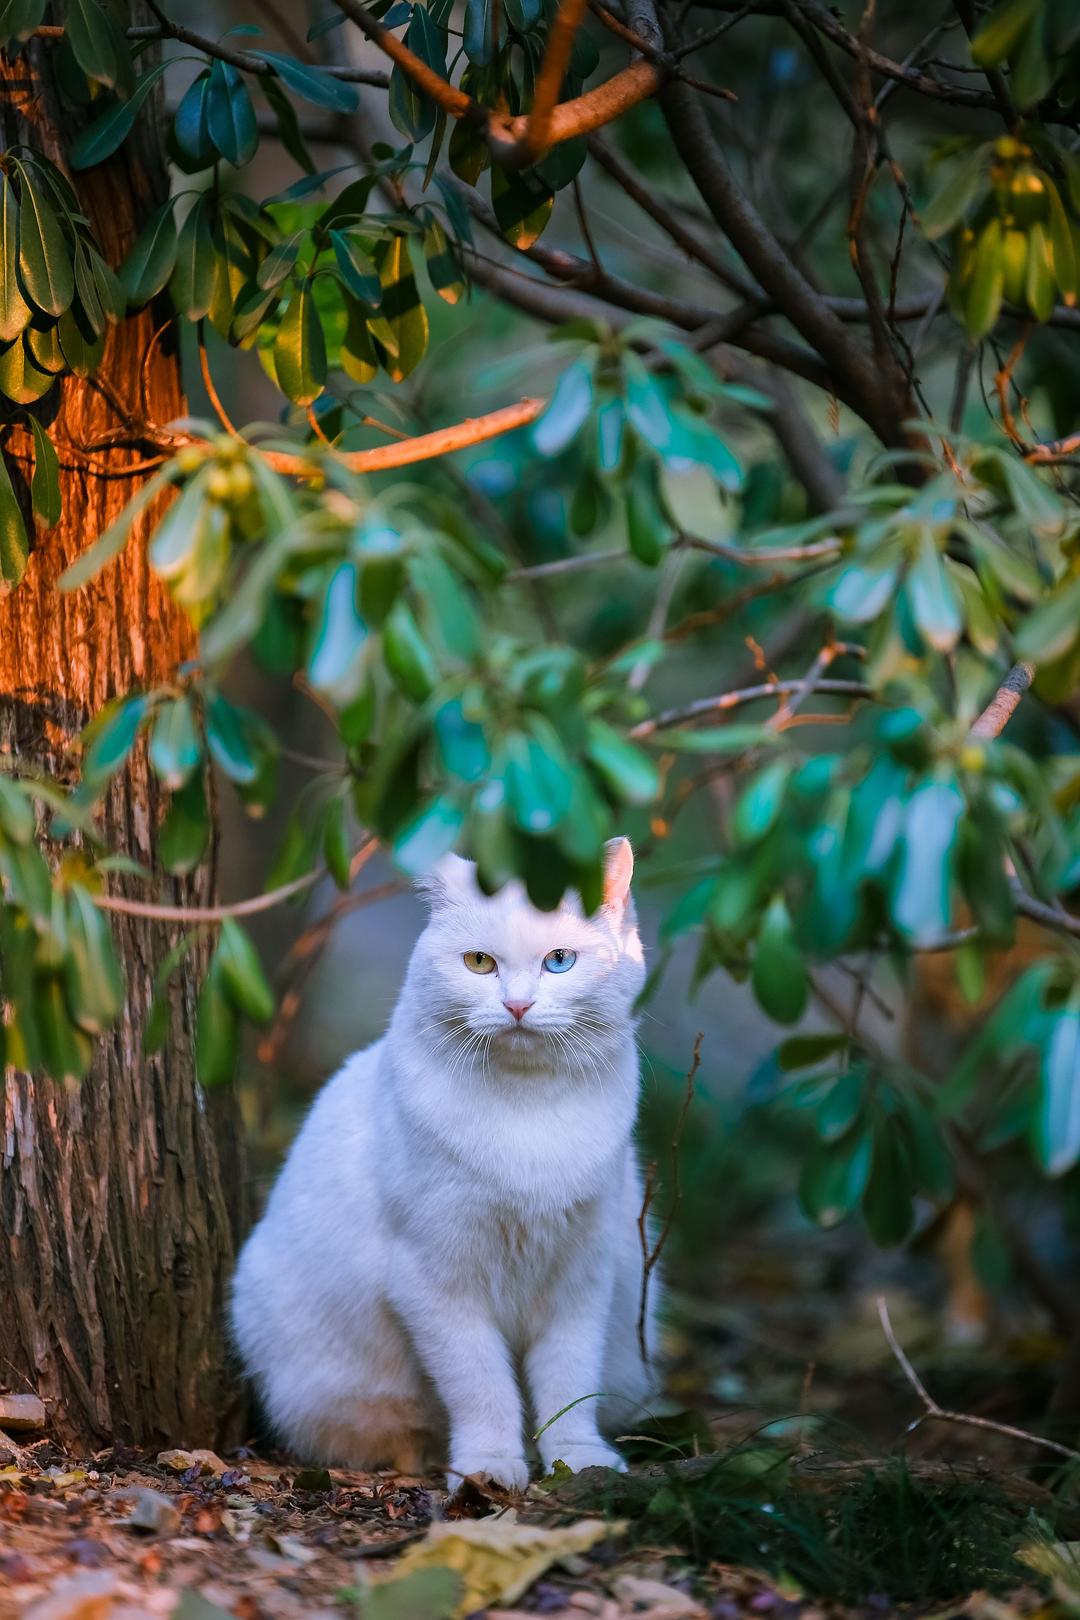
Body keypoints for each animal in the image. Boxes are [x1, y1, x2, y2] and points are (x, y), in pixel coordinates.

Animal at [231, 842, 654, 1483]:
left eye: (559, 961)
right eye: (479, 963)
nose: (517, 1005)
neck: (529, 1113)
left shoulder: (581, 1276)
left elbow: (570, 1382)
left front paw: (577, 1459)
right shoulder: (435, 1281)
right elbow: (482, 1387)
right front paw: (490, 1466)